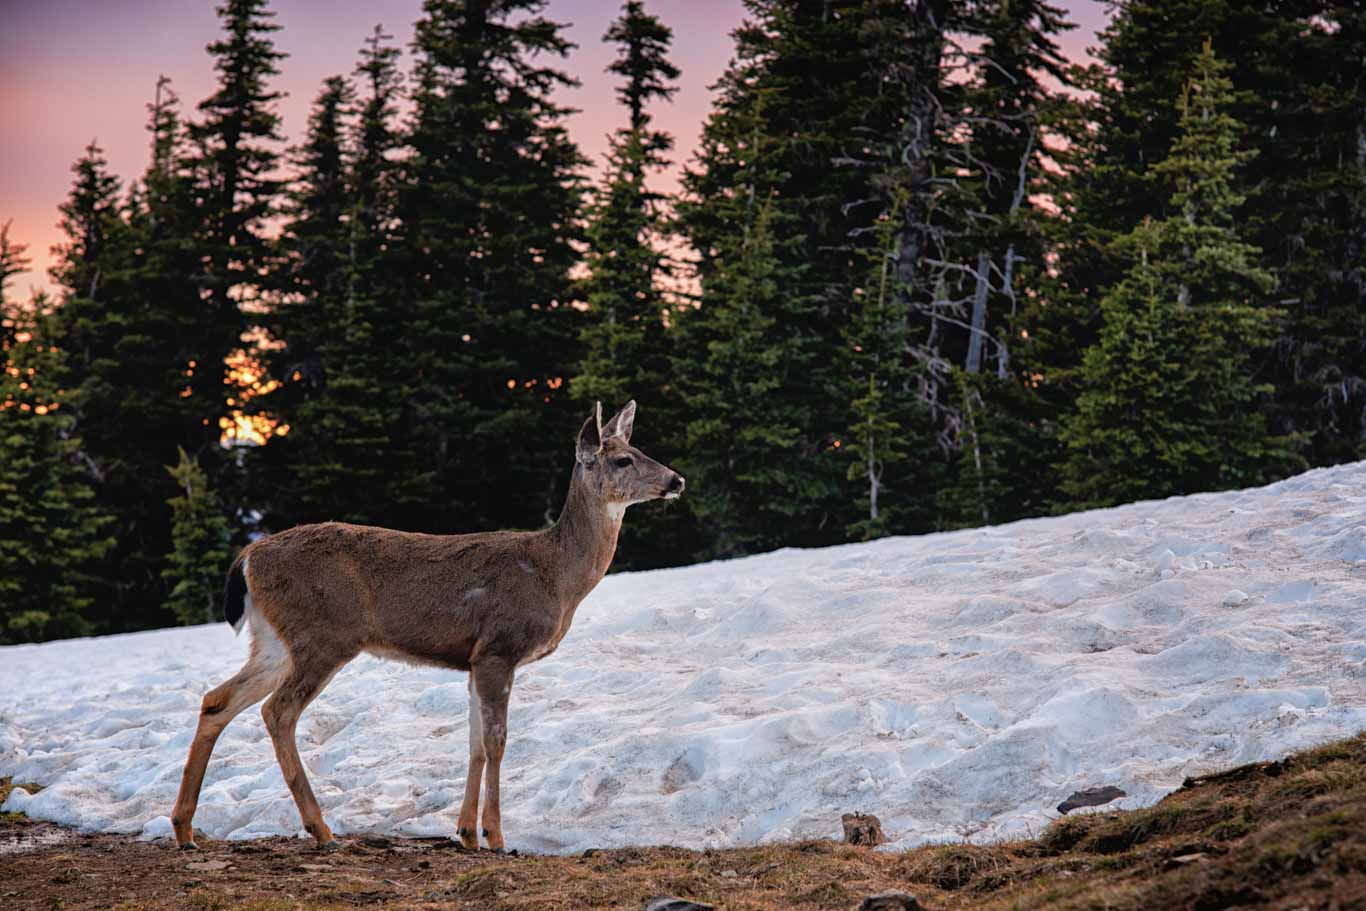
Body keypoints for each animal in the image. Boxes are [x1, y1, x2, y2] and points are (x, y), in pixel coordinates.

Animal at [170, 401, 683, 857]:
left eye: (640, 448)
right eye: (622, 459)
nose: (676, 480)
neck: (555, 575)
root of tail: (247, 557)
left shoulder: (474, 661)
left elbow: (474, 745)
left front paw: (466, 833)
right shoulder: (499, 647)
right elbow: (496, 742)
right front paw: (497, 837)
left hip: (275, 642)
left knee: (217, 699)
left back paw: (184, 828)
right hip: (322, 635)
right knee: (277, 712)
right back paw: (321, 830)